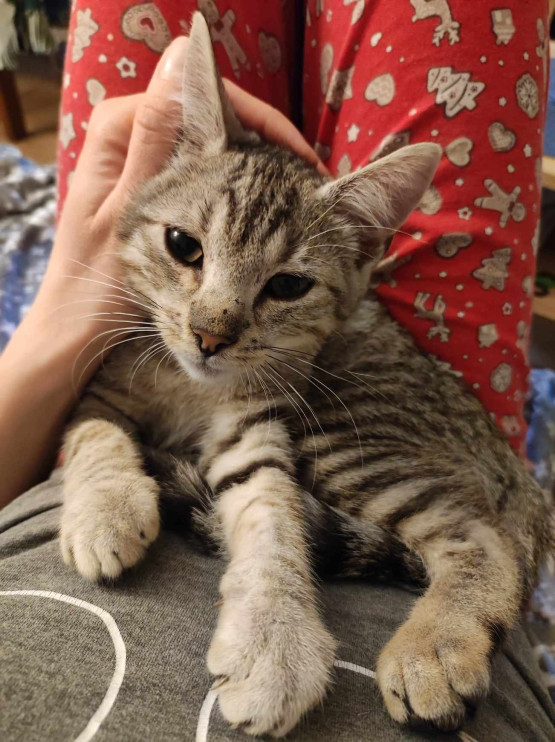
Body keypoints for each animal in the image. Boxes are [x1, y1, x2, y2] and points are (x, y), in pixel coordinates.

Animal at [60, 12, 552, 738]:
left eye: (288, 286)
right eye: (183, 246)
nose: (211, 335)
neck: (190, 388)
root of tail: (525, 482)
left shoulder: (258, 427)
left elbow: (274, 518)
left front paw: (274, 644)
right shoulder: (99, 384)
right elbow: (94, 434)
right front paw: (106, 508)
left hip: (345, 431)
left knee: (484, 539)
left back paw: (433, 649)